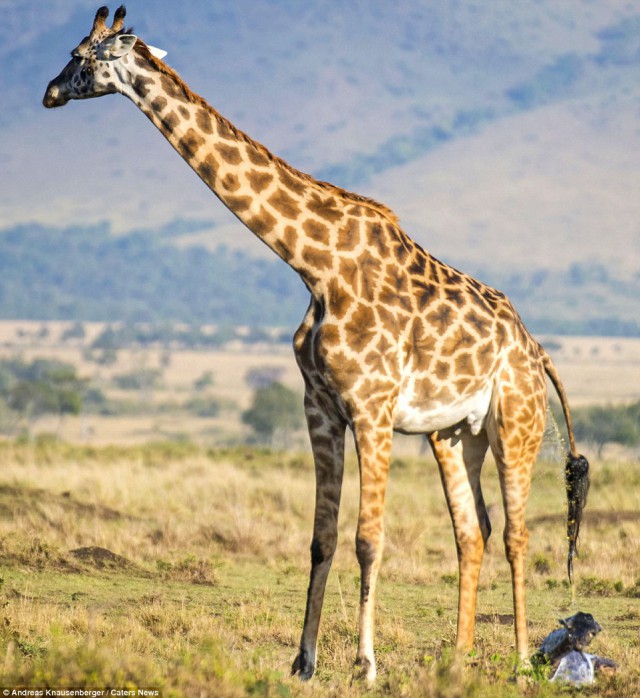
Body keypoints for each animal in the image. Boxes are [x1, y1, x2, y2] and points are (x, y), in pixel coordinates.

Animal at [43, 5, 592, 680]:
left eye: (81, 57)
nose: (49, 92)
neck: (314, 265)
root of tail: (536, 349)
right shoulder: (321, 408)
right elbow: (321, 537)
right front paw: (302, 661)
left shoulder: (373, 409)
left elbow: (367, 539)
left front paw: (365, 664)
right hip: (453, 434)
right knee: (473, 530)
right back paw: (457, 662)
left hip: (516, 422)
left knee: (516, 533)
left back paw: (518, 663)